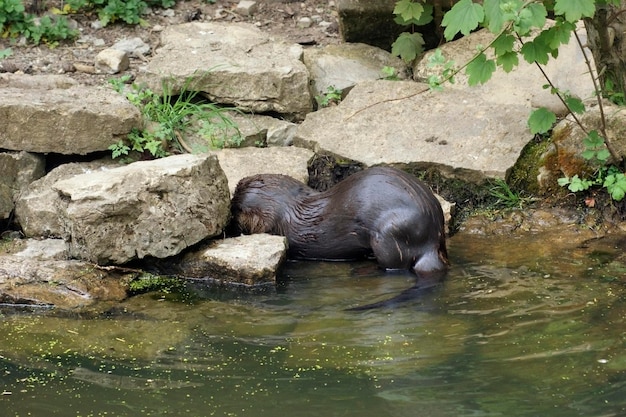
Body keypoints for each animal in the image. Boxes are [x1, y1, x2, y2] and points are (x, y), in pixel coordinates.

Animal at [230, 167, 448, 308]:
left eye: (237, 208)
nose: (237, 184)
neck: (290, 208)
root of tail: (431, 240)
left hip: (388, 235)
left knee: (394, 267)